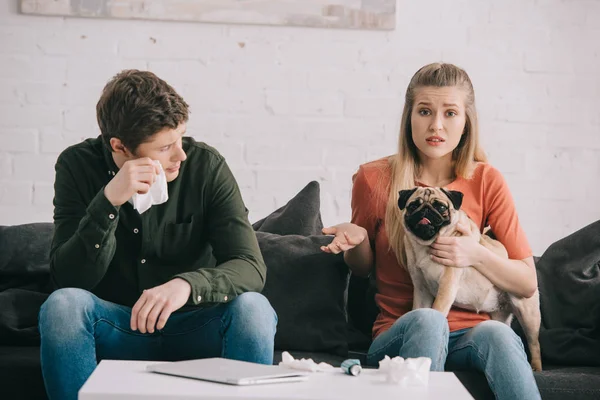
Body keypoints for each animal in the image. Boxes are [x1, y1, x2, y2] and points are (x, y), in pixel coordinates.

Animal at [400, 188, 540, 372]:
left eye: (441, 207)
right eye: (413, 206)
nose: (425, 211)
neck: (426, 246)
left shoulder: (447, 285)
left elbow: (437, 309)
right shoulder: (421, 290)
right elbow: (418, 310)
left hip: (528, 314)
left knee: (534, 344)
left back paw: (536, 367)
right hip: (500, 315)